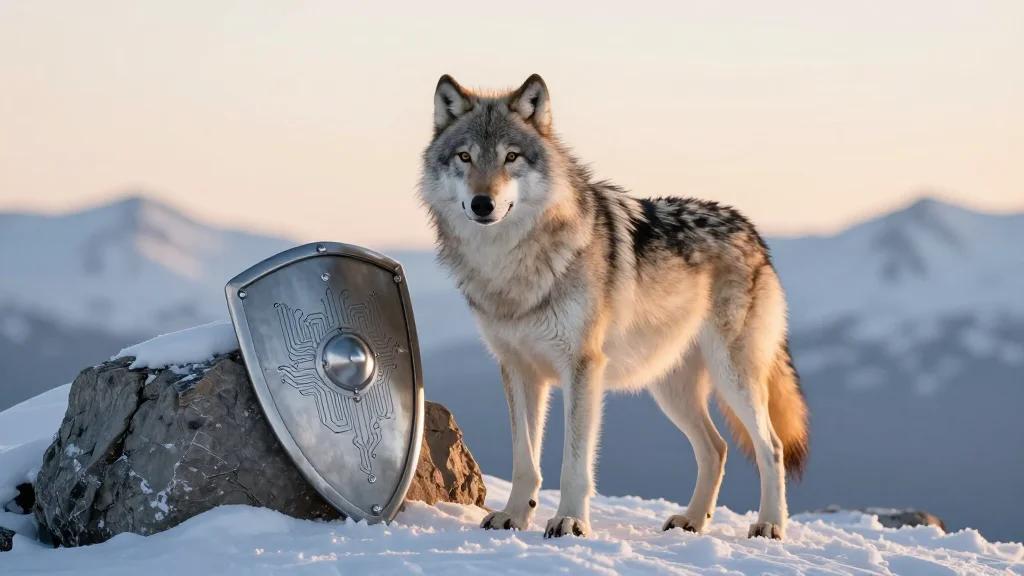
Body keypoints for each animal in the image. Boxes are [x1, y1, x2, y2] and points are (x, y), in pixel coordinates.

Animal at [418, 74, 809, 540]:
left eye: (510, 157)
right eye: (465, 156)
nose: (483, 203)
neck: (510, 266)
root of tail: (752, 231)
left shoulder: (583, 368)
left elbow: (574, 463)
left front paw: (569, 521)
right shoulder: (519, 369)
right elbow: (524, 461)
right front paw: (513, 515)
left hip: (732, 378)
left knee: (772, 447)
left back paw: (769, 524)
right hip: (671, 389)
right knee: (716, 448)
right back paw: (692, 521)